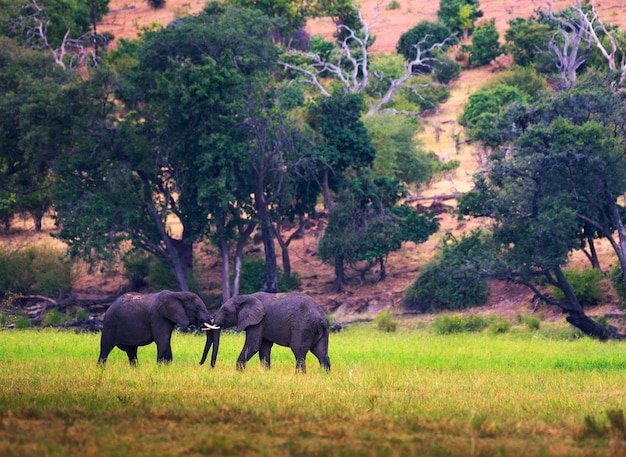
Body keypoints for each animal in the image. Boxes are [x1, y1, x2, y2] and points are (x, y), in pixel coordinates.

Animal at [202, 292, 332, 370]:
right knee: (321, 353)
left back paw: (299, 376)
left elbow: (253, 346)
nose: (212, 367)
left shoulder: (258, 322)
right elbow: (264, 348)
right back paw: (324, 376)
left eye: (225, 310)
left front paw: (239, 371)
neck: (247, 297)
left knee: (299, 352)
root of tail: (322, 317)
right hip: (322, 331)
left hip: (302, 327)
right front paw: (266, 372)